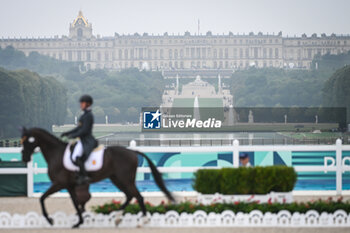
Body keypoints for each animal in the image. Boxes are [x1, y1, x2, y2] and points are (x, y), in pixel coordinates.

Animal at [19, 127, 174, 228]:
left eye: (27, 141)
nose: (25, 158)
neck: (56, 154)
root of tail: (132, 152)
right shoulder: (69, 186)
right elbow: (75, 202)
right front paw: (79, 221)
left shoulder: (59, 183)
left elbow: (42, 198)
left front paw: (50, 220)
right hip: (116, 179)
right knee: (130, 196)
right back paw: (116, 217)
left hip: (125, 179)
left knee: (138, 197)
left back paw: (142, 221)